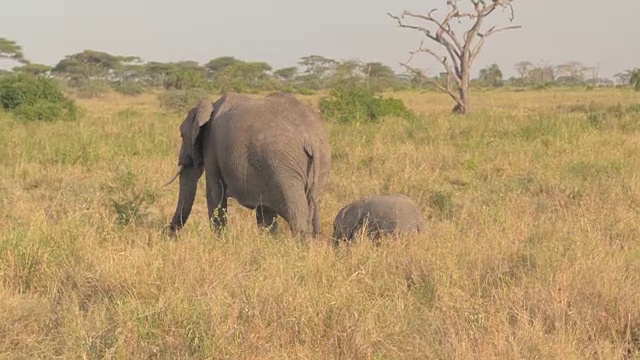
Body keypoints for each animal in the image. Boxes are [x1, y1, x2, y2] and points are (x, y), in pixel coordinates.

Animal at [165, 93, 332, 239]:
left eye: (182, 136)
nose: (170, 232)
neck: (210, 105)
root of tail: (311, 138)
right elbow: (265, 211)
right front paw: (268, 241)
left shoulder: (211, 148)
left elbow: (214, 192)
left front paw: (220, 240)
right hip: (320, 162)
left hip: (283, 168)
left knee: (297, 213)